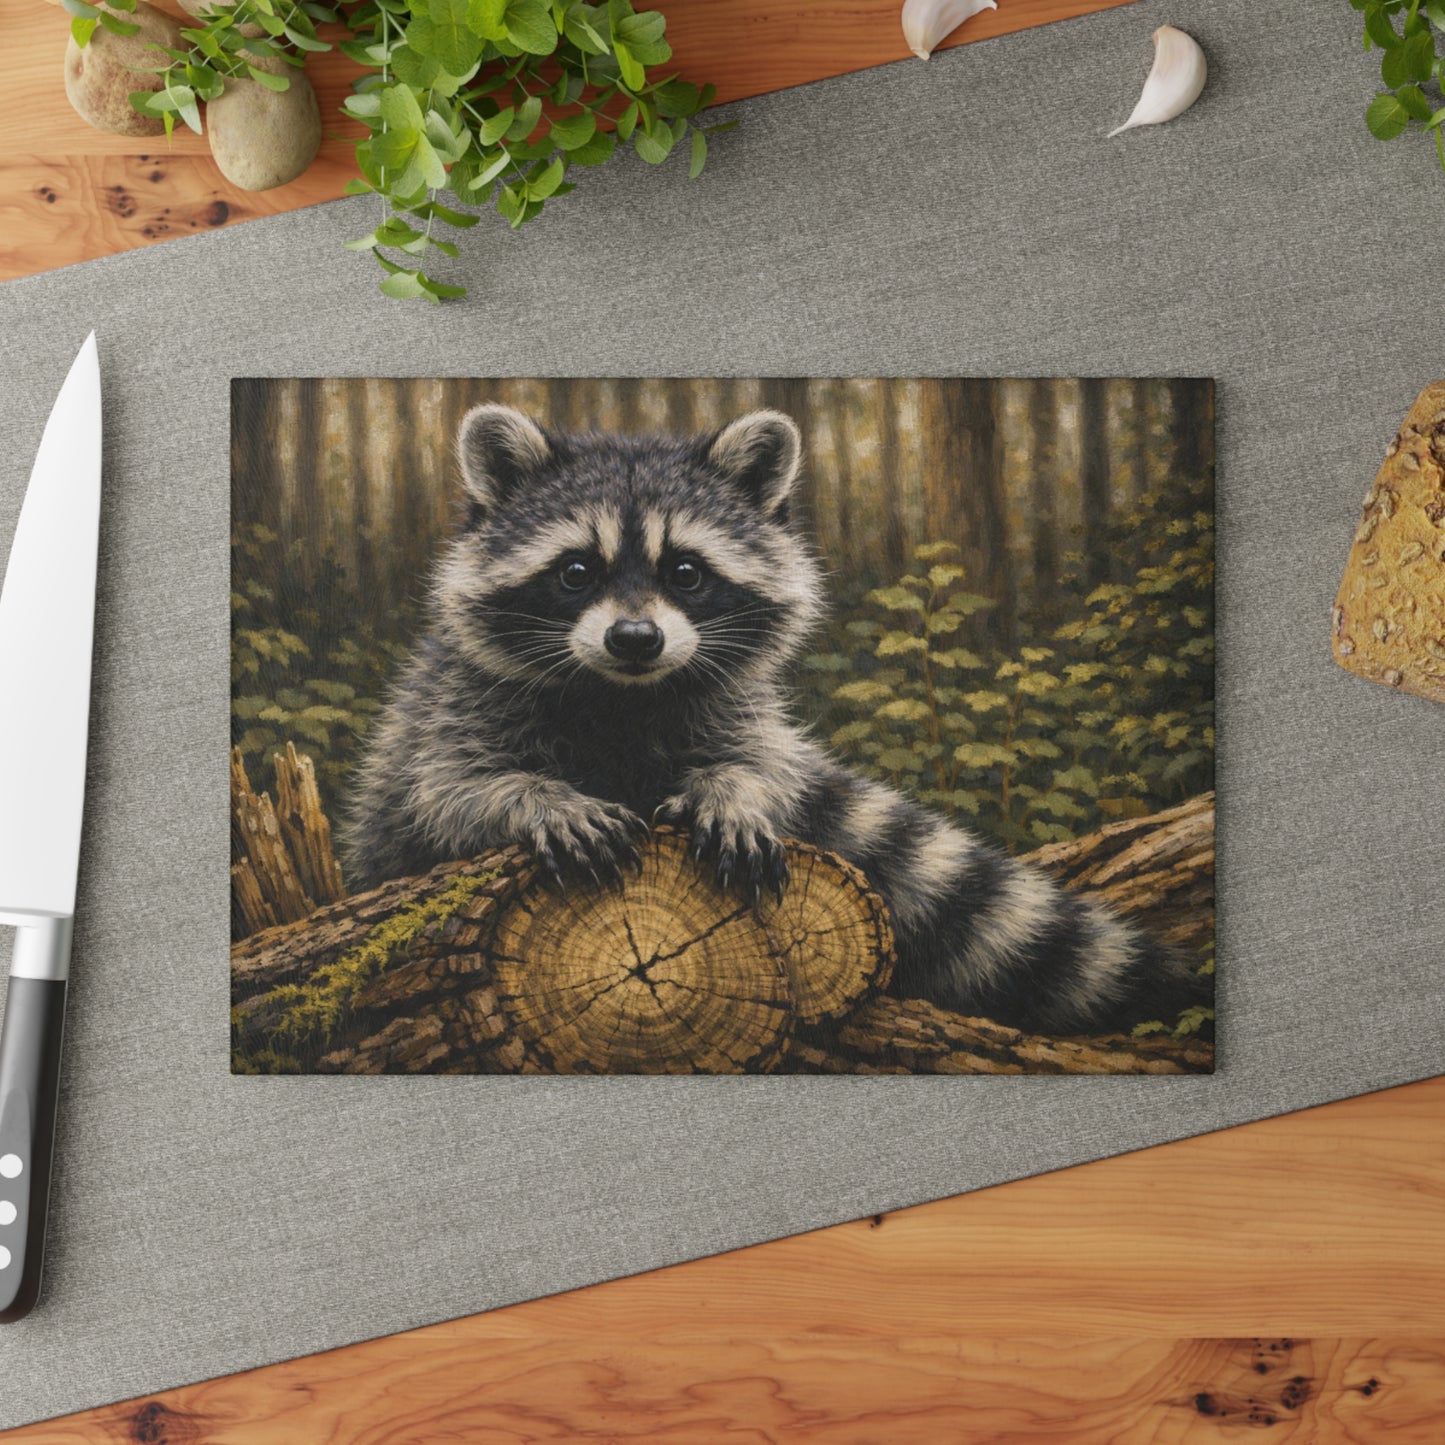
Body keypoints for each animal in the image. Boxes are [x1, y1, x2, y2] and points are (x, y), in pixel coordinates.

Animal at [344, 403, 1202, 1035]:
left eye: (685, 572)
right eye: (575, 571)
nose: (634, 639)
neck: (623, 695)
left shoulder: (731, 703)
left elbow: (762, 764)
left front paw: (734, 791)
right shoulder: (455, 703)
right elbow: (444, 792)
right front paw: (539, 799)